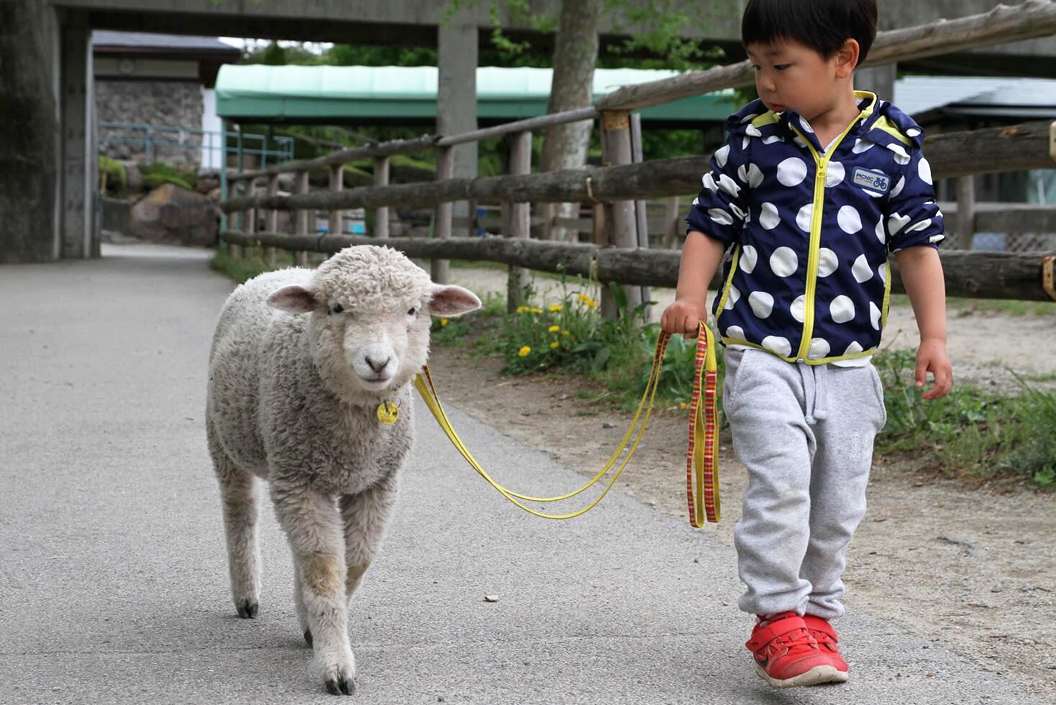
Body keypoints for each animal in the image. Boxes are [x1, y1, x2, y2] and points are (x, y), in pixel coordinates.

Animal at [204, 246, 483, 692]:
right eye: (336, 308)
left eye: (412, 310)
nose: (377, 362)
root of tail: (282, 270)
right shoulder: (298, 481)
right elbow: (323, 567)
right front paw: (335, 665)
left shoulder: (378, 484)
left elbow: (355, 561)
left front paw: (311, 627)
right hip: (226, 438)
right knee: (240, 511)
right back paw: (246, 595)